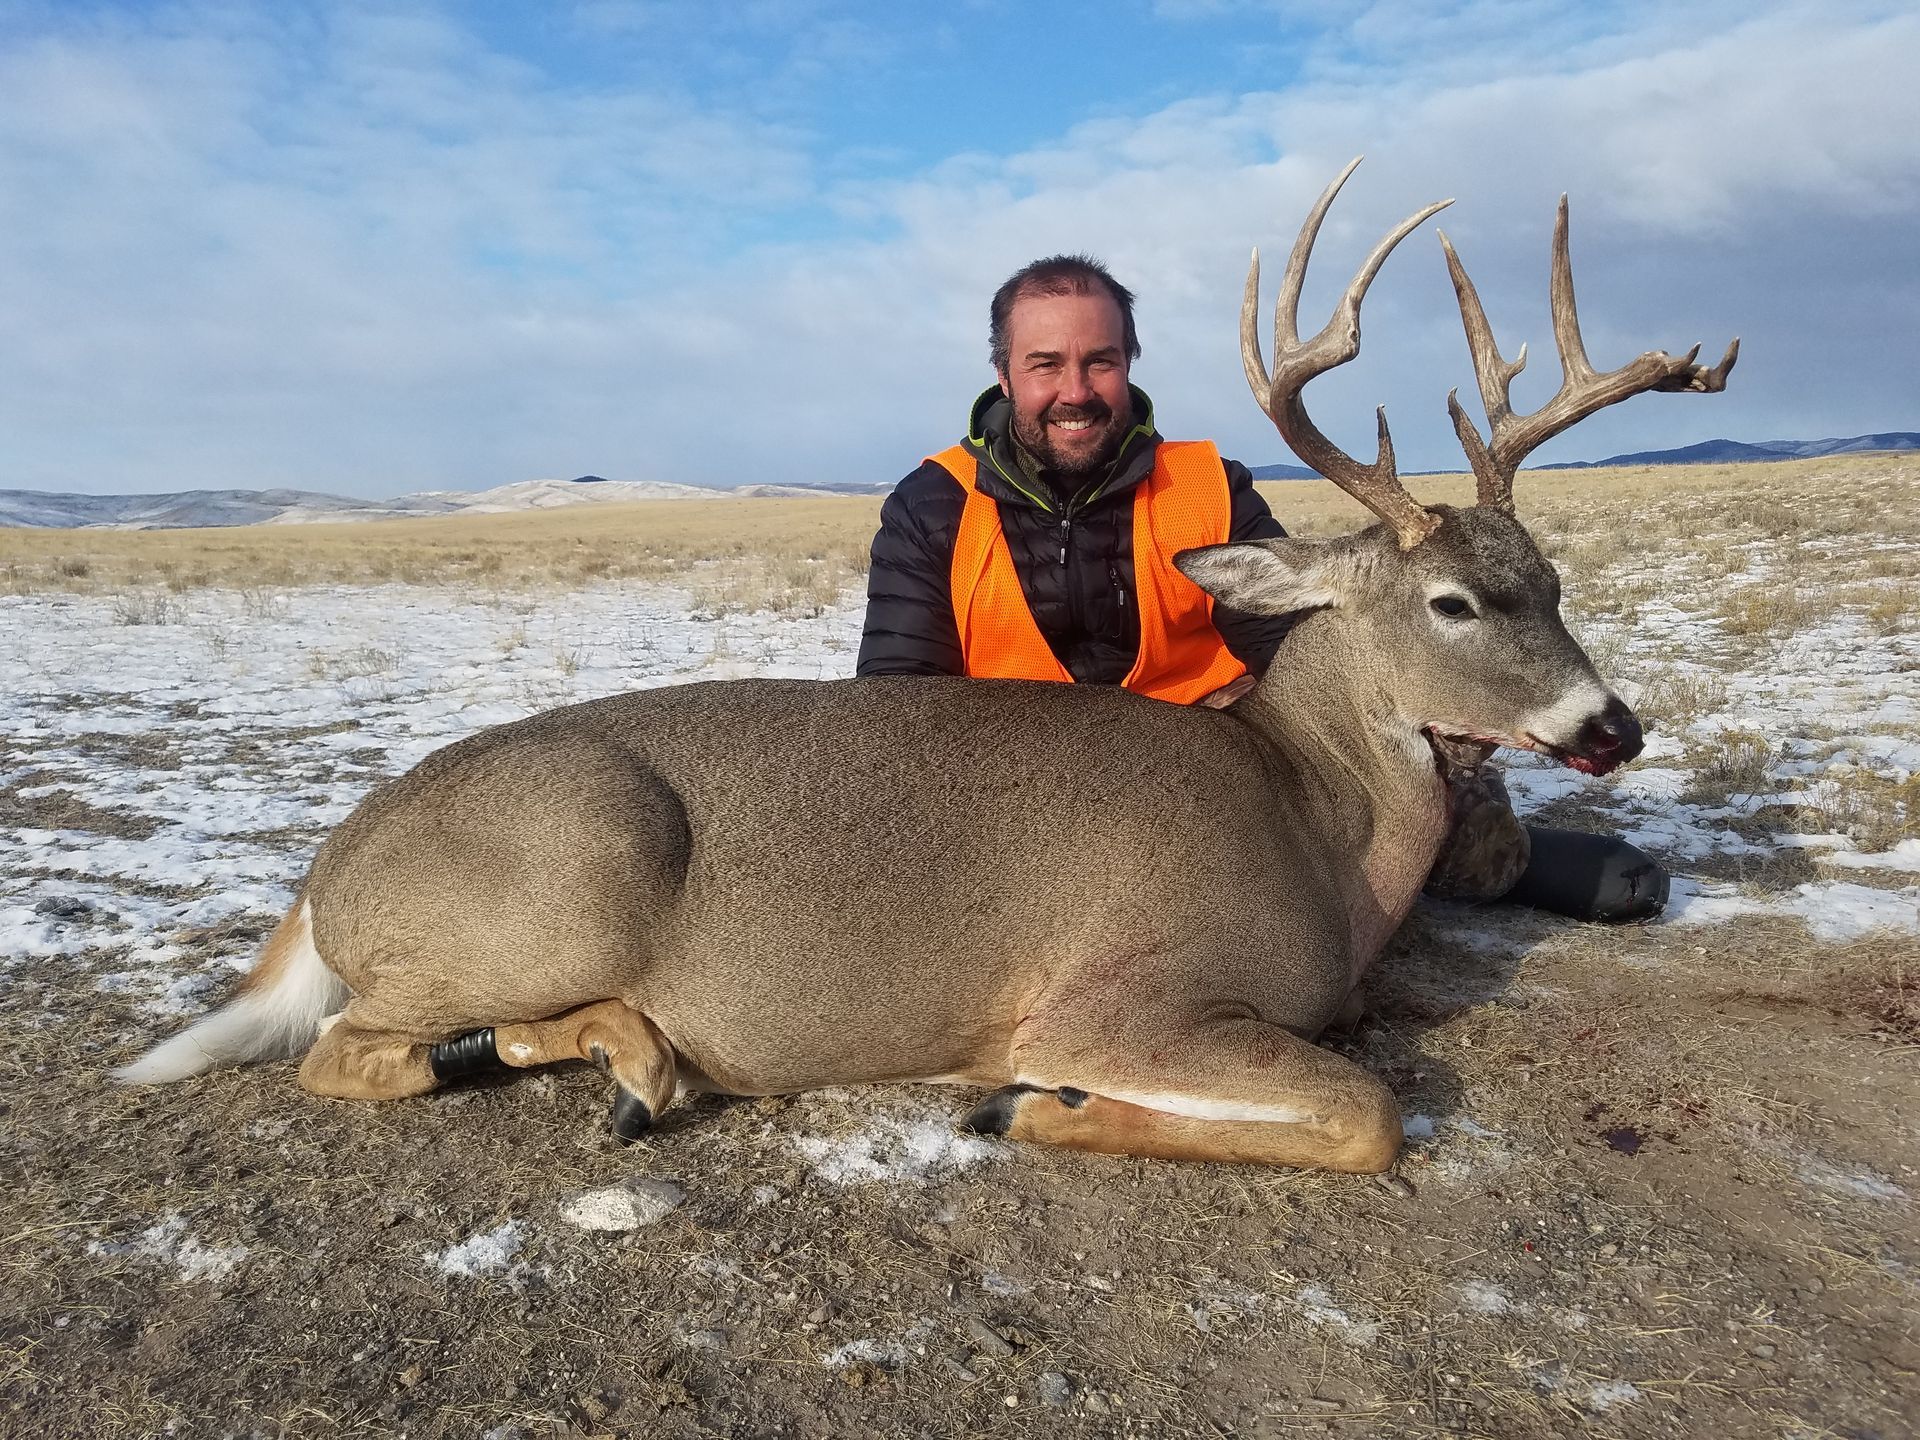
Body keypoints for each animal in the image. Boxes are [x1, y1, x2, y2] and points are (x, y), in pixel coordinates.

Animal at [116, 159, 1735, 1175]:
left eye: (1558, 582)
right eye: (1457, 601)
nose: (1613, 725)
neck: (1320, 828)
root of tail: (329, 866)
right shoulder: (1122, 993)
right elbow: (1368, 1114)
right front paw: (1030, 1112)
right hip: (569, 876)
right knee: (348, 1050)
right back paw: (632, 1064)